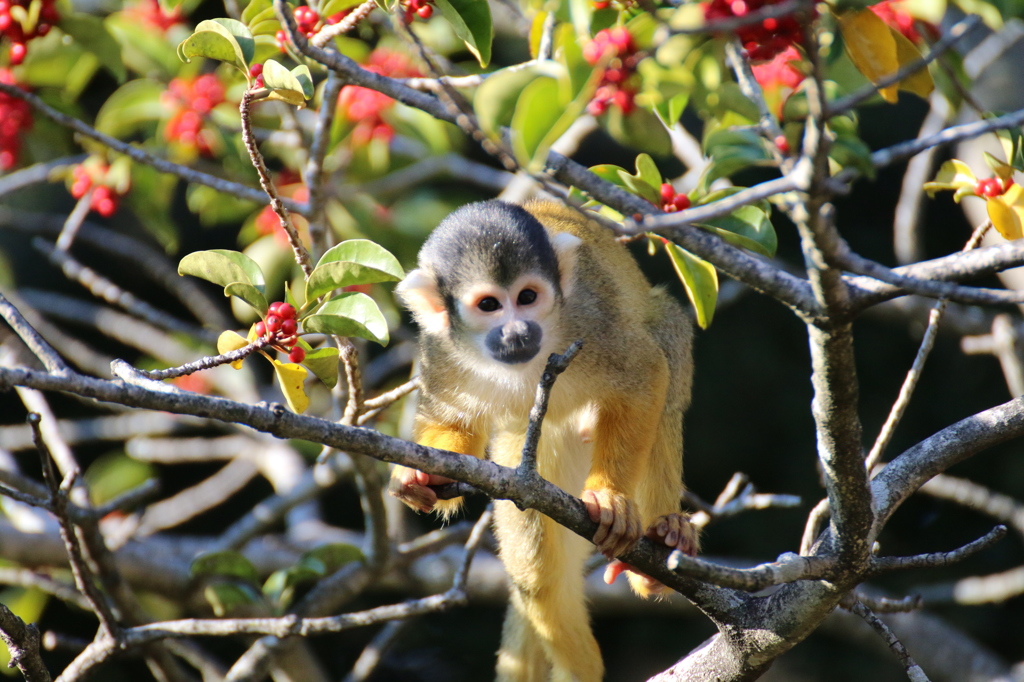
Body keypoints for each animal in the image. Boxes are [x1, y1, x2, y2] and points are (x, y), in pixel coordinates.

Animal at [389, 199, 696, 675]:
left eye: (528, 297)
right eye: (489, 305)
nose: (517, 332)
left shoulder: (592, 320)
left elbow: (645, 373)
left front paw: (609, 496)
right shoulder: (441, 353)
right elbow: (455, 425)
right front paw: (421, 479)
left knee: (665, 343)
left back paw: (662, 544)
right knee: (536, 574)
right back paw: (579, 663)